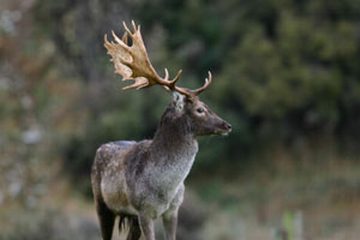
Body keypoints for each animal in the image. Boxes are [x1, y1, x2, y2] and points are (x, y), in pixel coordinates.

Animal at [90, 21, 231, 240]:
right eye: (200, 109)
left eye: (206, 105)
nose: (226, 125)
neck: (165, 191)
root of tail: (99, 149)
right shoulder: (144, 210)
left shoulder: (173, 210)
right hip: (101, 203)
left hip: (130, 218)